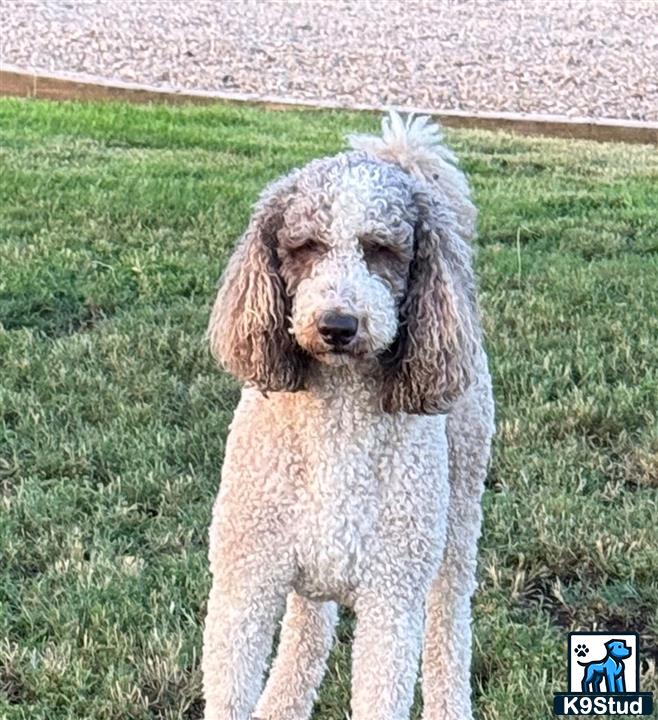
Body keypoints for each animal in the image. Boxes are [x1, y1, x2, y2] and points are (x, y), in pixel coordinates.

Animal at [200, 112, 492, 720]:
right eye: (306, 246)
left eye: (380, 249)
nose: (338, 324)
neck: (336, 425)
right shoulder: (245, 585)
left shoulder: (390, 601)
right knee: (308, 632)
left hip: (456, 523)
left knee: (449, 627)